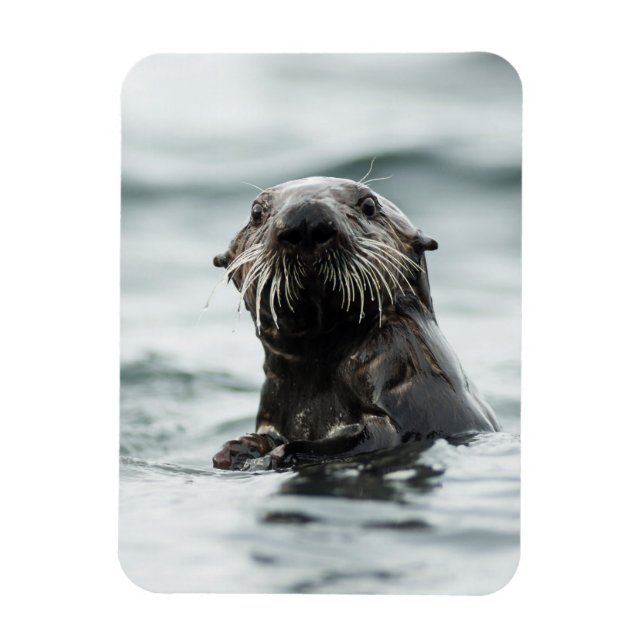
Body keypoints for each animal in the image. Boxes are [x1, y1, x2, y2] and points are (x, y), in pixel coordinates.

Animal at [211, 177, 499, 470]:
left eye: (369, 205)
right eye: (257, 212)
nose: (306, 219)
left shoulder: (406, 375)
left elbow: (376, 436)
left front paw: (281, 452)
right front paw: (239, 448)